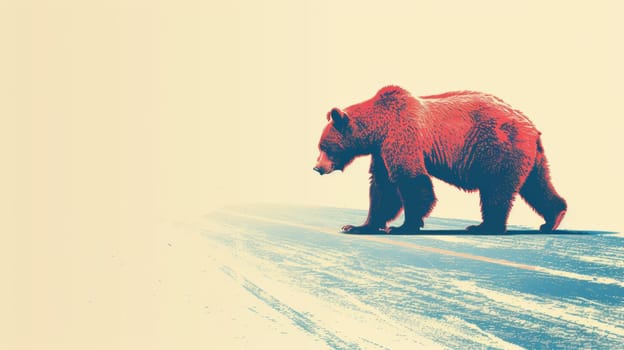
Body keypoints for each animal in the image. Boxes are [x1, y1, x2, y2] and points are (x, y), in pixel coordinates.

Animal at [314, 86, 568, 234]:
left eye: (324, 147)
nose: (317, 167)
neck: (379, 127)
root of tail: (532, 127)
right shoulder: (381, 150)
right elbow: (382, 188)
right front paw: (357, 226)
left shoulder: (402, 136)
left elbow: (411, 181)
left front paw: (404, 226)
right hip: (530, 156)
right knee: (537, 186)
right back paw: (552, 219)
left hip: (498, 148)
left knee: (496, 190)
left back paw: (484, 227)